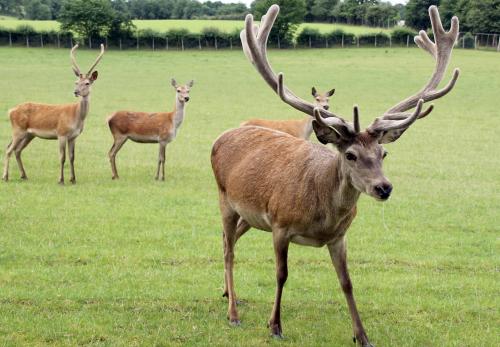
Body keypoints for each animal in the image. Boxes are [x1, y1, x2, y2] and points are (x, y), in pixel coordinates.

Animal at [2, 44, 104, 185]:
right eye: (76, 82)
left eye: (87, 83)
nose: (76, 92)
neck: (76, 117)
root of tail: (11, 110)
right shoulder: (61, 133)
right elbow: (62, 157)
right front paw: (61, 180)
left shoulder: (73, 136)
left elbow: (72, 157)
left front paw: (73, 179)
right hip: (18, 130)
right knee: (8, 149)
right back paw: (5, 177)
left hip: (28, 134)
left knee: (17, 150)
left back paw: (24, 175)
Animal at [210, 4, 458, 346]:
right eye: (350, 154)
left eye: (383, 153)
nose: (384, 188)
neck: (321, 215)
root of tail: (221, 137)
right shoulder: (280, 225)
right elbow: (281, 274)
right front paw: (274, 325)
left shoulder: (339, 237)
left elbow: (347, 282)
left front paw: (362, 335)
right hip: (226, 200)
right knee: (228, 249)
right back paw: (233, 313)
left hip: (250, 216)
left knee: (229, 239)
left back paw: (226, 293)